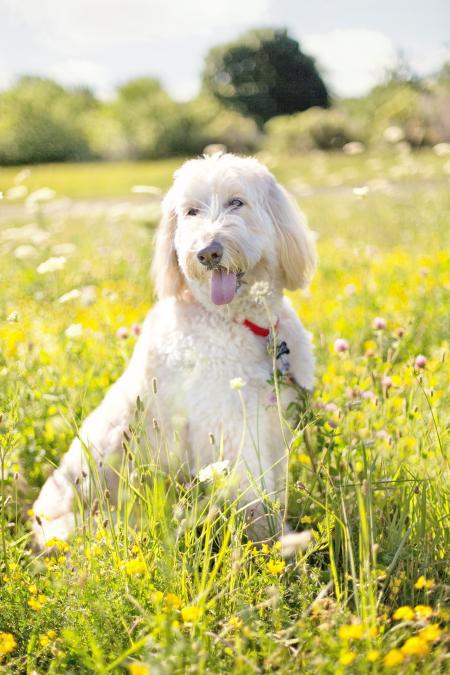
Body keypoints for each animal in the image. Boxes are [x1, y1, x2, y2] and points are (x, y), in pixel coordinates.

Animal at [32, 154, 316, 548]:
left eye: (236, 202)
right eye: (191, 211)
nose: (207, 252)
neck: (239, 322)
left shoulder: (275, 429)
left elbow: (275, 490)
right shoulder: (233, 430)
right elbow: (255, 501)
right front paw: (273, 544)